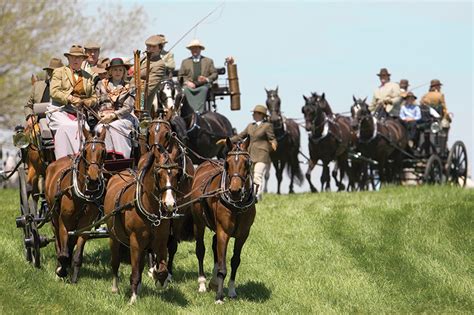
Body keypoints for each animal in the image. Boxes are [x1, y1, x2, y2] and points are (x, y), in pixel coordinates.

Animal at [45, 127, 107, 282]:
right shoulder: (64, 222)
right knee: (57, 240)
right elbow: (63, 251)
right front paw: (61, 270)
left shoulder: (85, 226)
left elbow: (77, 254)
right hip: (54, 215)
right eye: (85, 151)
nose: (93, 179)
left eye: (104, 152)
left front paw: (73, 278)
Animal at [103, 139, 183, 304]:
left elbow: (162, 269)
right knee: (115, 262)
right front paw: (133, 298)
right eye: (158, 174)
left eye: (177, 174)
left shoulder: (161, 242)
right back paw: (115, 288)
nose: (170, 204)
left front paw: (160, 279)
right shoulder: (135, 243)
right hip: (114, 237)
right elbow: (134, 271)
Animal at [189, 139, 256, 306]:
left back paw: (213, 282)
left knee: (215, 246)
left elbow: (235, 261)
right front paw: (219, 297)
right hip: (198, 223)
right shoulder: (223, 232)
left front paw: (231, 291)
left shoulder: (243, 235)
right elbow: (222, 267)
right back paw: (202, 283)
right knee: (201, 250)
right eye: (227, 163)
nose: (235, 190)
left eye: (247, 163)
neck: (237, 205)